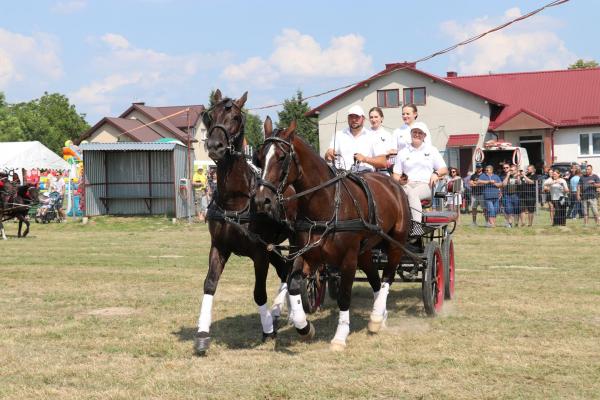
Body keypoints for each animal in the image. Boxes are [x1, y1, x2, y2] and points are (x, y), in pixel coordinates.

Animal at [194, 89, 295, 355]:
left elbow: (259, 293)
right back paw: (281, 311)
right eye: (210, 116)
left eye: (237, 117)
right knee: (285, 270)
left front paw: (267, 330)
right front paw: (202, 334)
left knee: (292, 269)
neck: (236, 200)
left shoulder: (259, 253)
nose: (215, 146)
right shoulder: (219, 247)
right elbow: (209, 284)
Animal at [253, 122, 411, 351]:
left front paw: (339, 337)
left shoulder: (348, 260)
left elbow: (344, 297)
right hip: (364, 252)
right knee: (375, 279)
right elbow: (293, 286)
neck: (326, 204)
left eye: (281, 157)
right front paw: (304, 327)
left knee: (386, 278)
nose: (261, 200)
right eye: (259, 157)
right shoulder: (307, 254)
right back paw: (379, 317)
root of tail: (393, 184)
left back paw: (375, 317)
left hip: (396, 244)